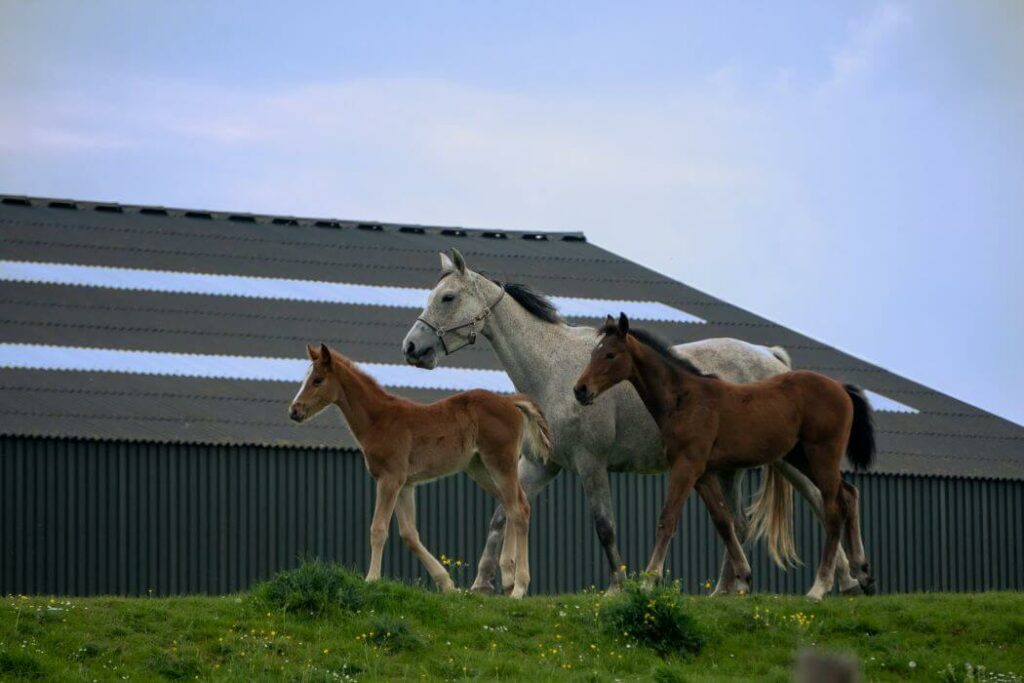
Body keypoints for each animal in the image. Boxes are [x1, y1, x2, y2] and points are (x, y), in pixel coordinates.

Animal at [288, 344, 552, 593]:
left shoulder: (389, 479)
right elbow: (409, 535)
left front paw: (371, 579)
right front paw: (447, 584)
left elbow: (378, 529)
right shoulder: (405, 484)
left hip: (500, 462)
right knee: (513, 504)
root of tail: (509, 401)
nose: (294, 411)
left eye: (317, 380)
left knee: (518, 509)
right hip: (480, 468)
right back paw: (508, 579)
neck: (379, 420)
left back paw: (519, 587)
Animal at [573, 315, 876, 598]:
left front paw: (649, 581)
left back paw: (820, 587)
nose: (580, 390)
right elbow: (723, 521)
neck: (684, 399)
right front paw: (744, 579)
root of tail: (841, 388)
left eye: (610, 354)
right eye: (593, 353)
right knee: (850, 494)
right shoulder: (703, 474)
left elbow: (667, 519)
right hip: (800, 457)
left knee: (834, 509)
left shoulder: (686, 466)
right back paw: (863, 574)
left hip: (821, 454)